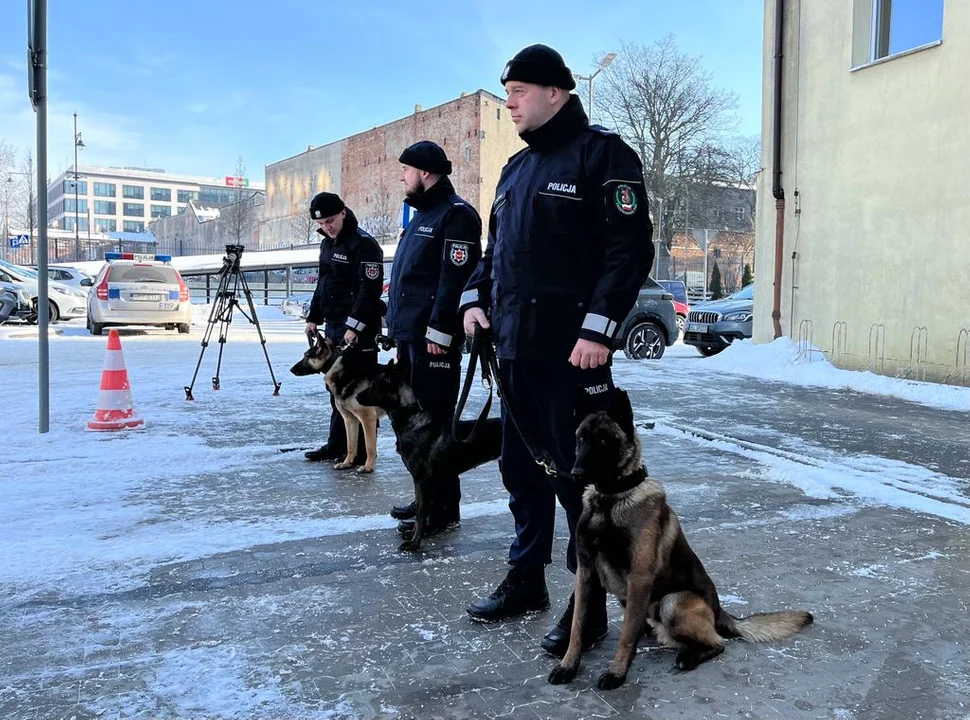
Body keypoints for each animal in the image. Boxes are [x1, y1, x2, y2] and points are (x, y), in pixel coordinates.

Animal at [292, 334, 386, 476]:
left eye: (306, 356)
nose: (291, 369)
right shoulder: (350, 420)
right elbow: (351, 445)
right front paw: (347, 463)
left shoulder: (367, 419)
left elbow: (369, 447)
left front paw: (368, 467)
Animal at [360, 360, 502, 552]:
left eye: (373, 384)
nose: (357, 396)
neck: (409, 415)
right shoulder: (431, 480)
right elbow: (427, 510)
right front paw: (419, 533)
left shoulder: (421, 479)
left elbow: (421, 512)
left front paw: (414, 542)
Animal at [548, 388, 812, 692]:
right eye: (581, 438)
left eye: (604, 440)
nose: (576, 474)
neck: (611, 499)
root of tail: (719, 611)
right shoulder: (586, 572)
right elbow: (577, 627)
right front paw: (568, 665)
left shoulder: (639, 578)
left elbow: (625, 637)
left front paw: (616, 672)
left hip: (671, 603)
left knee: (718, 643)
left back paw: (688, 656)